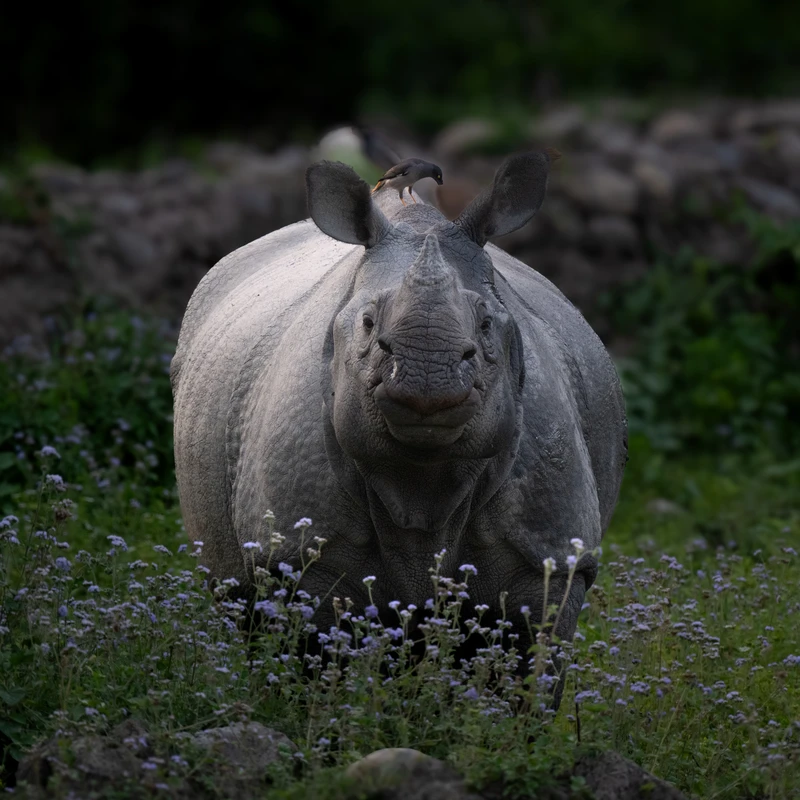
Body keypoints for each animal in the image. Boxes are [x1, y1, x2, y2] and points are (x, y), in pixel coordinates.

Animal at [171, 152, 627, 656]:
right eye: (368, 324)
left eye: (487, 324)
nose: (427, 373)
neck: (422, 481)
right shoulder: (297, 553)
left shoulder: (551, 554)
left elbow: (531, 657)